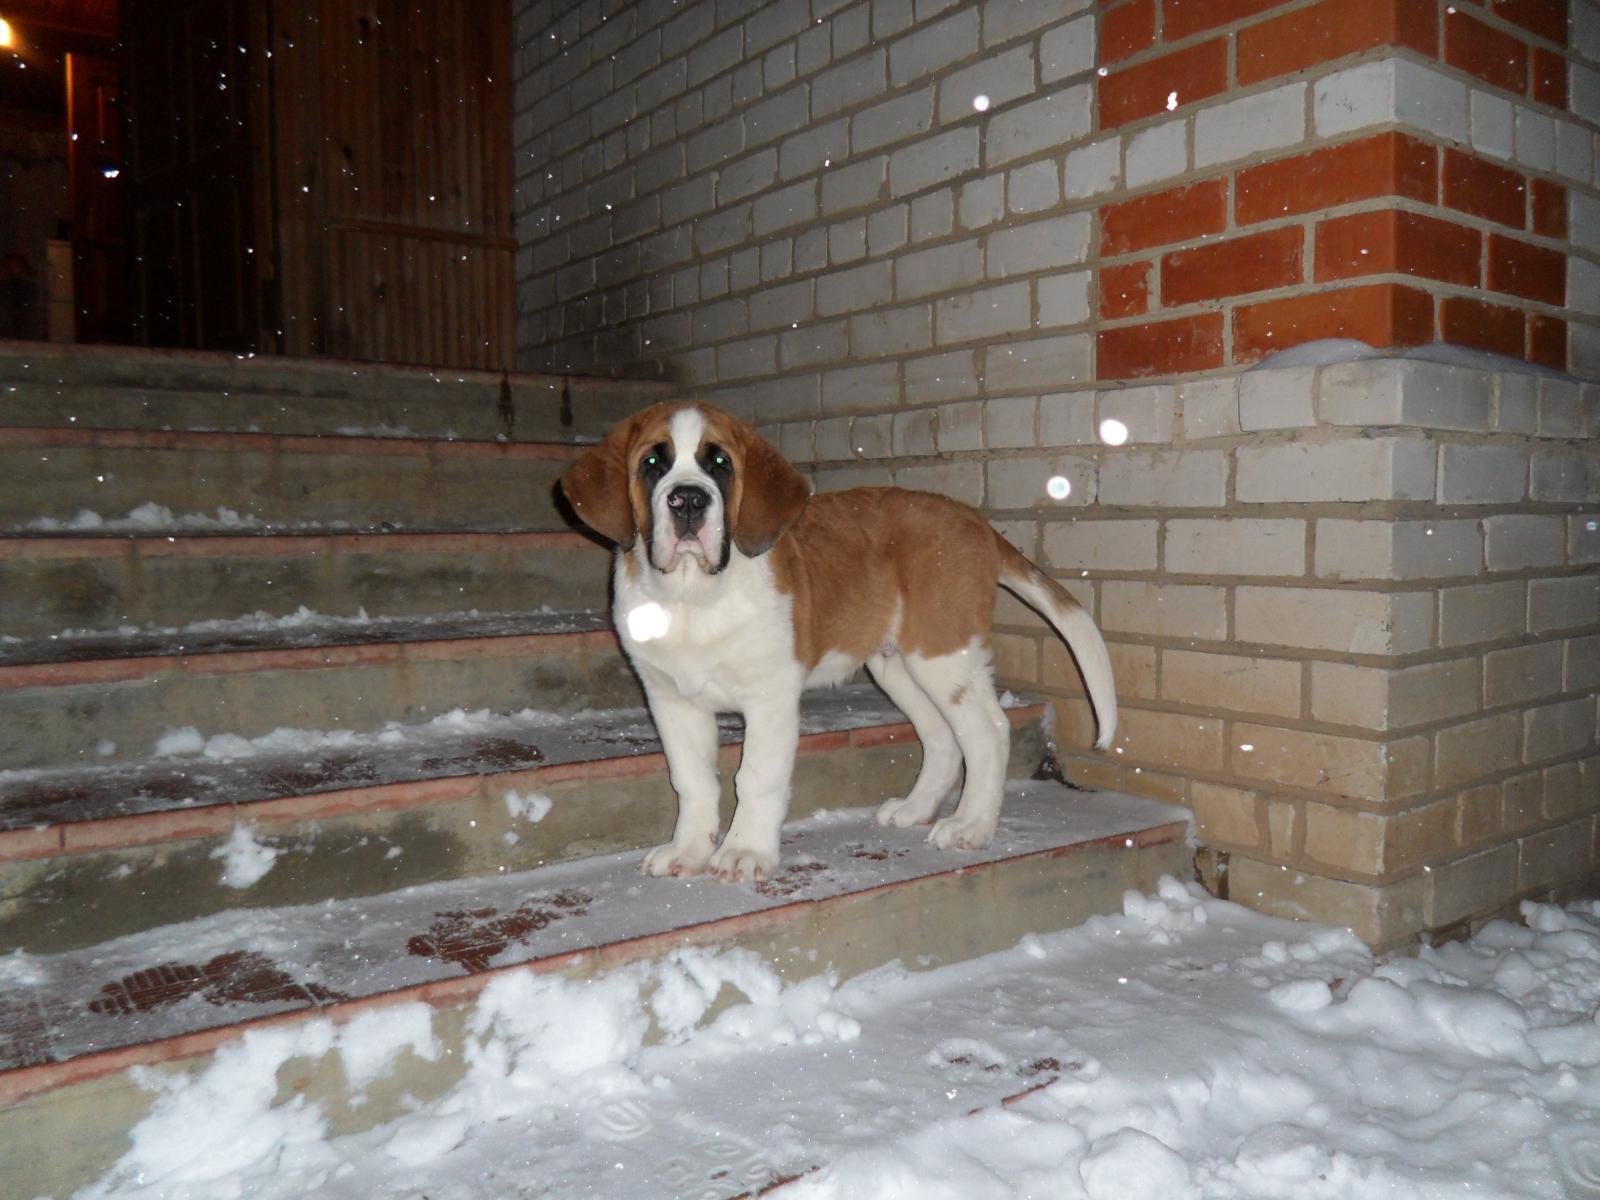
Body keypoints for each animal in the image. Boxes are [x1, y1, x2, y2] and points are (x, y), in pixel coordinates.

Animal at [560, 401, 1117, 883]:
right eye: (653, 463)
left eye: (720, 464)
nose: (690, 500)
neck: (693, 595)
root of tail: (972, 518)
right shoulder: (670, 700)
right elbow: (692, 779)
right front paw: (688, 850)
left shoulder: (770, 699)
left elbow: (755, 777)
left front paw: (744, 852)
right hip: (896, 665)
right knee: (941, 735)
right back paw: (915, 808)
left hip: (942, 653)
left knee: (988, 732)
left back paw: (970, 825)